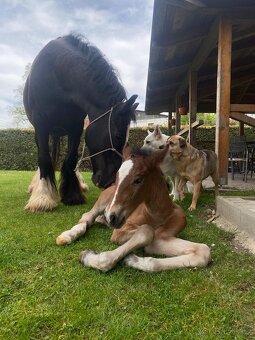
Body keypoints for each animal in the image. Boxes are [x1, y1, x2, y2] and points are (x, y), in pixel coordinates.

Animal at [23, 33, 138, 210]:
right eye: (118, 136)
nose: (111, 181)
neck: (56, 72)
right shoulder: (41, 124)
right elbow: (43, 157)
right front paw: (42, 197)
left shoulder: (76, 127)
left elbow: (71, 159)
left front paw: (72, 194)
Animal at [56, 145, 211, 272]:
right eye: (117, 176)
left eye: (138, 180)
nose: (112, 216)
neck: (158, 215)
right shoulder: (119, 232)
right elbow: (147, 231)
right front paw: (88, 257)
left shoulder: (162, 238)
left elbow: (204, 250)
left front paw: (132, 260)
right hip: (101, 204)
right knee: (87, 217)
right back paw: (68, 236)